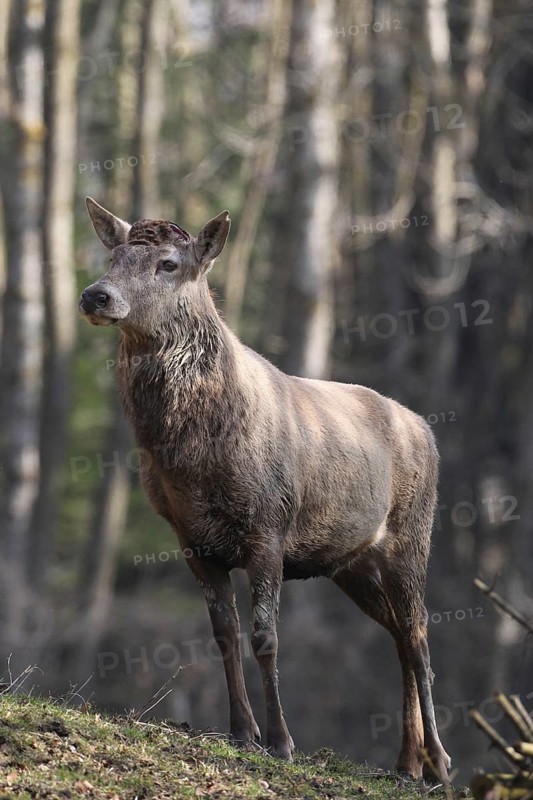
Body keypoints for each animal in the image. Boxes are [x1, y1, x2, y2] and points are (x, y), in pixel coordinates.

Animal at [80, 197, 451, 783]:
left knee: (418, 634)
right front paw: (241, 731)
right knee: (396, 634)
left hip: (412, 534)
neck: (197, 464)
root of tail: (426, 430)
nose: (96, 294)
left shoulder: (269, 525)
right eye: (113, 256)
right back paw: (405, 761)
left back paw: (437, 759)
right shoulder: (190, 537)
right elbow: (224, 633)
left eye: (168, 264)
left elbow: (265, 636)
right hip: (349, 561)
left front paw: (281, 741)